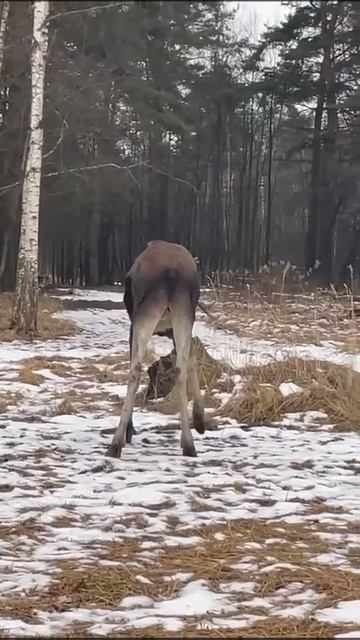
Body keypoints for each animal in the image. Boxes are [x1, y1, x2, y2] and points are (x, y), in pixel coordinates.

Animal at [107, 241, 205, 460]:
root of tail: (171, 273)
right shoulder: (173, 329)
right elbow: (192, 358)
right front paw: (199, 419)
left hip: (143, 316)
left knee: (135, 369)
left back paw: (116, 443)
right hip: (182, 314)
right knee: (179, 369)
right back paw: (189, 445)